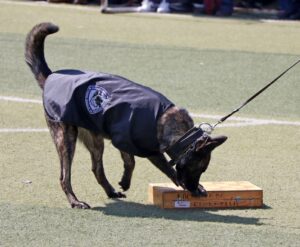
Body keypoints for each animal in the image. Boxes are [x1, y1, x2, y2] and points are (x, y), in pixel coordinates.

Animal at [25, 22, 227, 208]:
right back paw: (75, 201)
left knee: (97, 169)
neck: (165, 120)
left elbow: (130, 161)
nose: (193, 188)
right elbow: (160, 167)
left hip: (95, 139)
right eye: (199, 168)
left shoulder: (123, 139)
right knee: (64, 176)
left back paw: (110, 191)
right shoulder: (138, 145)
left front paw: (124, 181)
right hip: (66, 139)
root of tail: (51, 77)